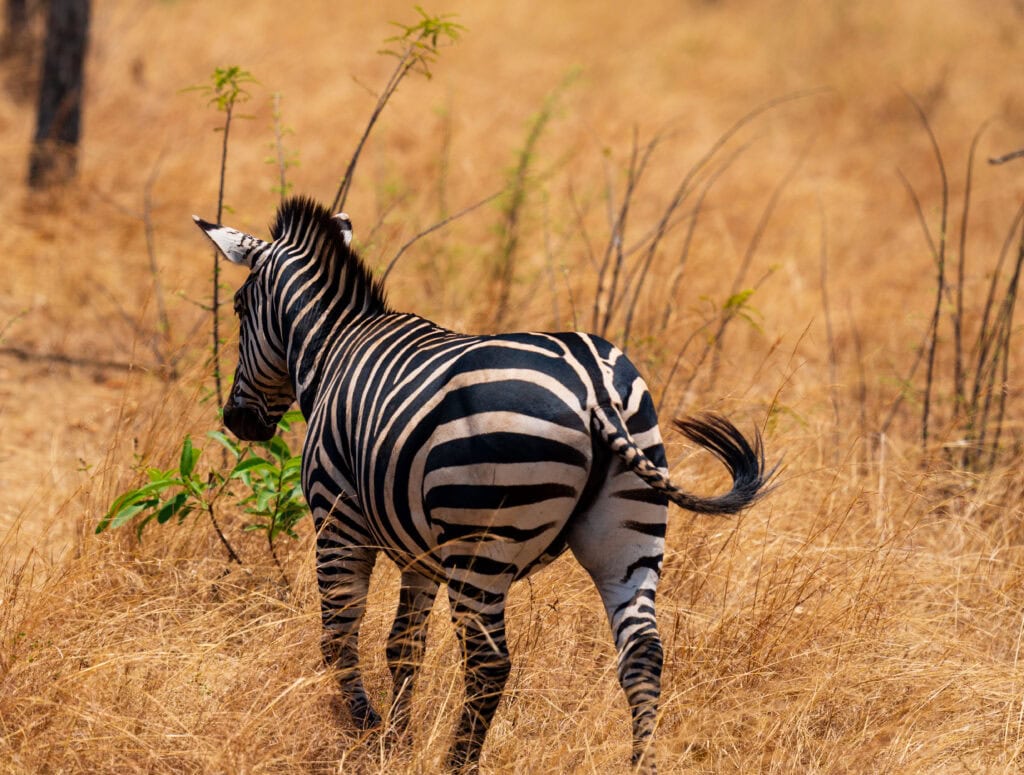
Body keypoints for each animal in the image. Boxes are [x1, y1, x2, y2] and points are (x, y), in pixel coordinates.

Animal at [194, 195, 772, 773]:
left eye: (239, 308)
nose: (238, 422)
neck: (332, 348)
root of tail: (593, 385)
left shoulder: (337, 513)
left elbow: (339, 634)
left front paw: (365, 728)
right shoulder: (418, 551)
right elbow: (404, 644)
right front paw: (397, 741)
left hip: (482, 543)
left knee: (489, 663)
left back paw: (459, 763)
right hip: (629, 530)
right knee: (643, 651)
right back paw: (641, 762)